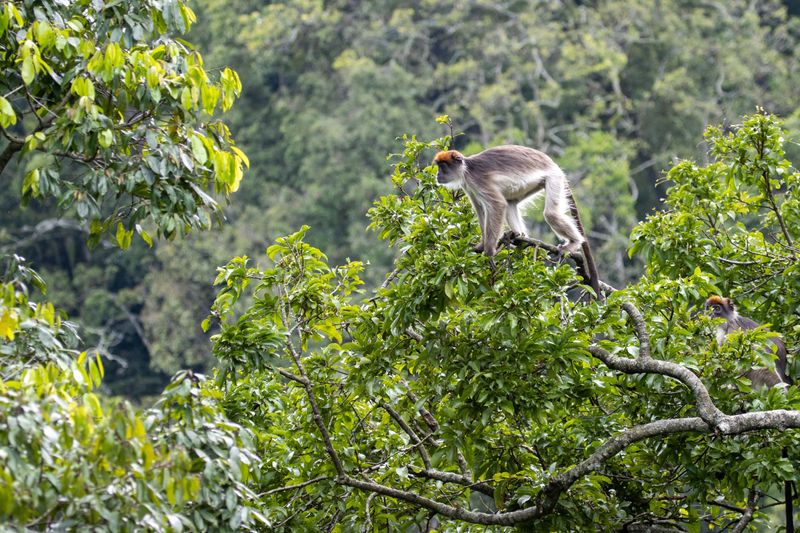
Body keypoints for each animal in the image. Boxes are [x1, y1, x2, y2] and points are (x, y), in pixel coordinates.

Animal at [432, 146, 602, 299]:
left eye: (443, 167)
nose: (438, 174)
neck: (466, 169)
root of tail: (552, 163)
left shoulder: (476, 179)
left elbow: (498, 205)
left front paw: (489, 251)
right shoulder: (468, 185)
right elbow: (481, 211)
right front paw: (482, 245)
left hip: (553, 177)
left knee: (550, 214)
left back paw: (575, 242)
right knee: (511, 202)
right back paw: (519, 237)